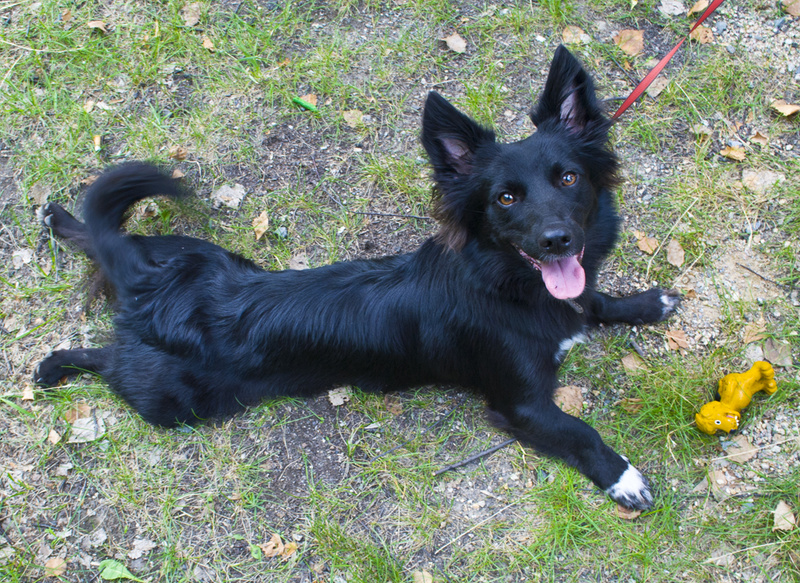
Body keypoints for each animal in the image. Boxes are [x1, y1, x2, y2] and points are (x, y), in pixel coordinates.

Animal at [35, 46, 679, 510]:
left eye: (569, 178)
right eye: (505, 198)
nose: (556, 240)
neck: (503, 284)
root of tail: (152, 290)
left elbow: (597, 302)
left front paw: (647, 303)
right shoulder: (520, 405)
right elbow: (580, 432)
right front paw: (624, 478)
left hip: (195, 253)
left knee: (105, 238)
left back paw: (61, 220)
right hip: (174, 400)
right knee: (107, 359)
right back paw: (56, 363)